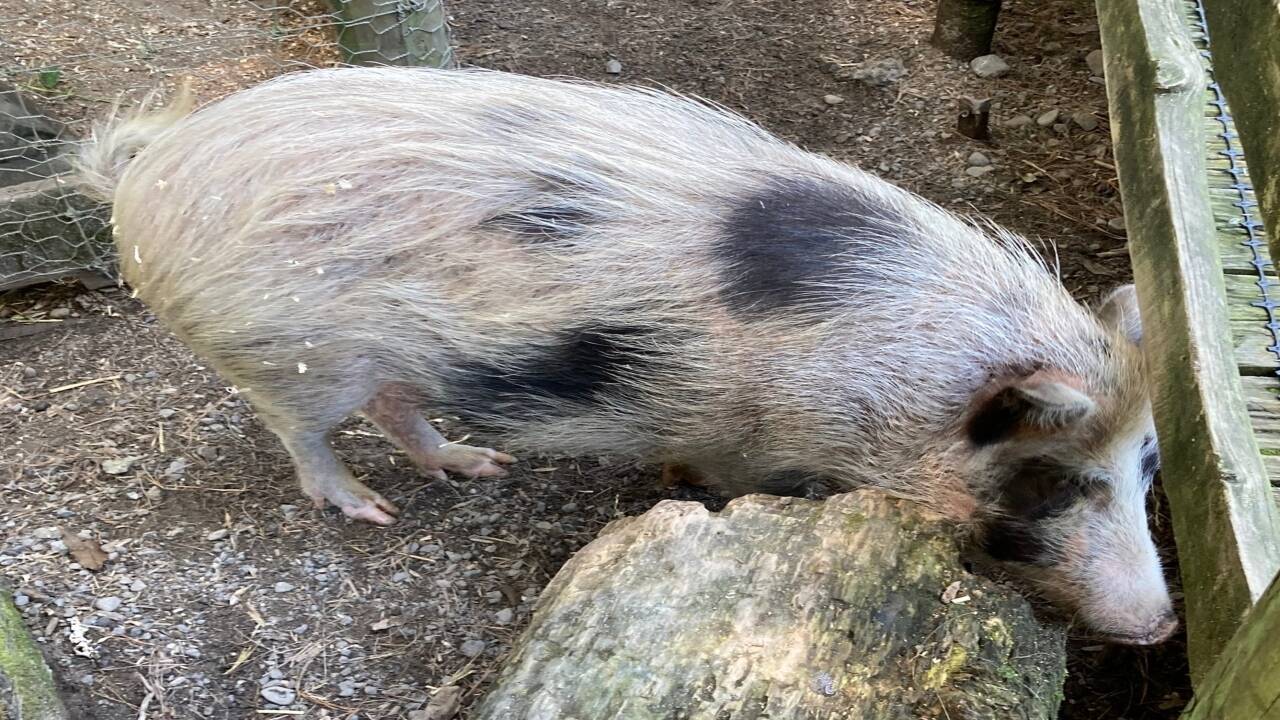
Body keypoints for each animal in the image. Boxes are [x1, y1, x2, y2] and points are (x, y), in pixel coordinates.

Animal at [75, 67, 1175, 644]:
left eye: (1144, 469)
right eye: (1053, 479)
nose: (1162, 626)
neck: (888, 383)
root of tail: (147, 178)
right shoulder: (745, 431)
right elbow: (728, 478)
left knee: (397, 408)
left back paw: (476, 466)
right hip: (292, 355)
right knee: (301, 436)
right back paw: (370, 508)